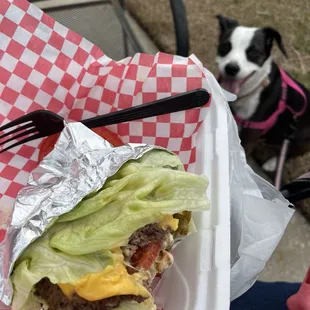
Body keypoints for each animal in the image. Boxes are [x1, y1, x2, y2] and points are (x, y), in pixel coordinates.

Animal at [216, 15, 310, 171]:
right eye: (225, 46)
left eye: (254, 53)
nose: (231, 68)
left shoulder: (249, 137)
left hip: (301, 139)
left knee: (291, 151)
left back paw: (272, 163)